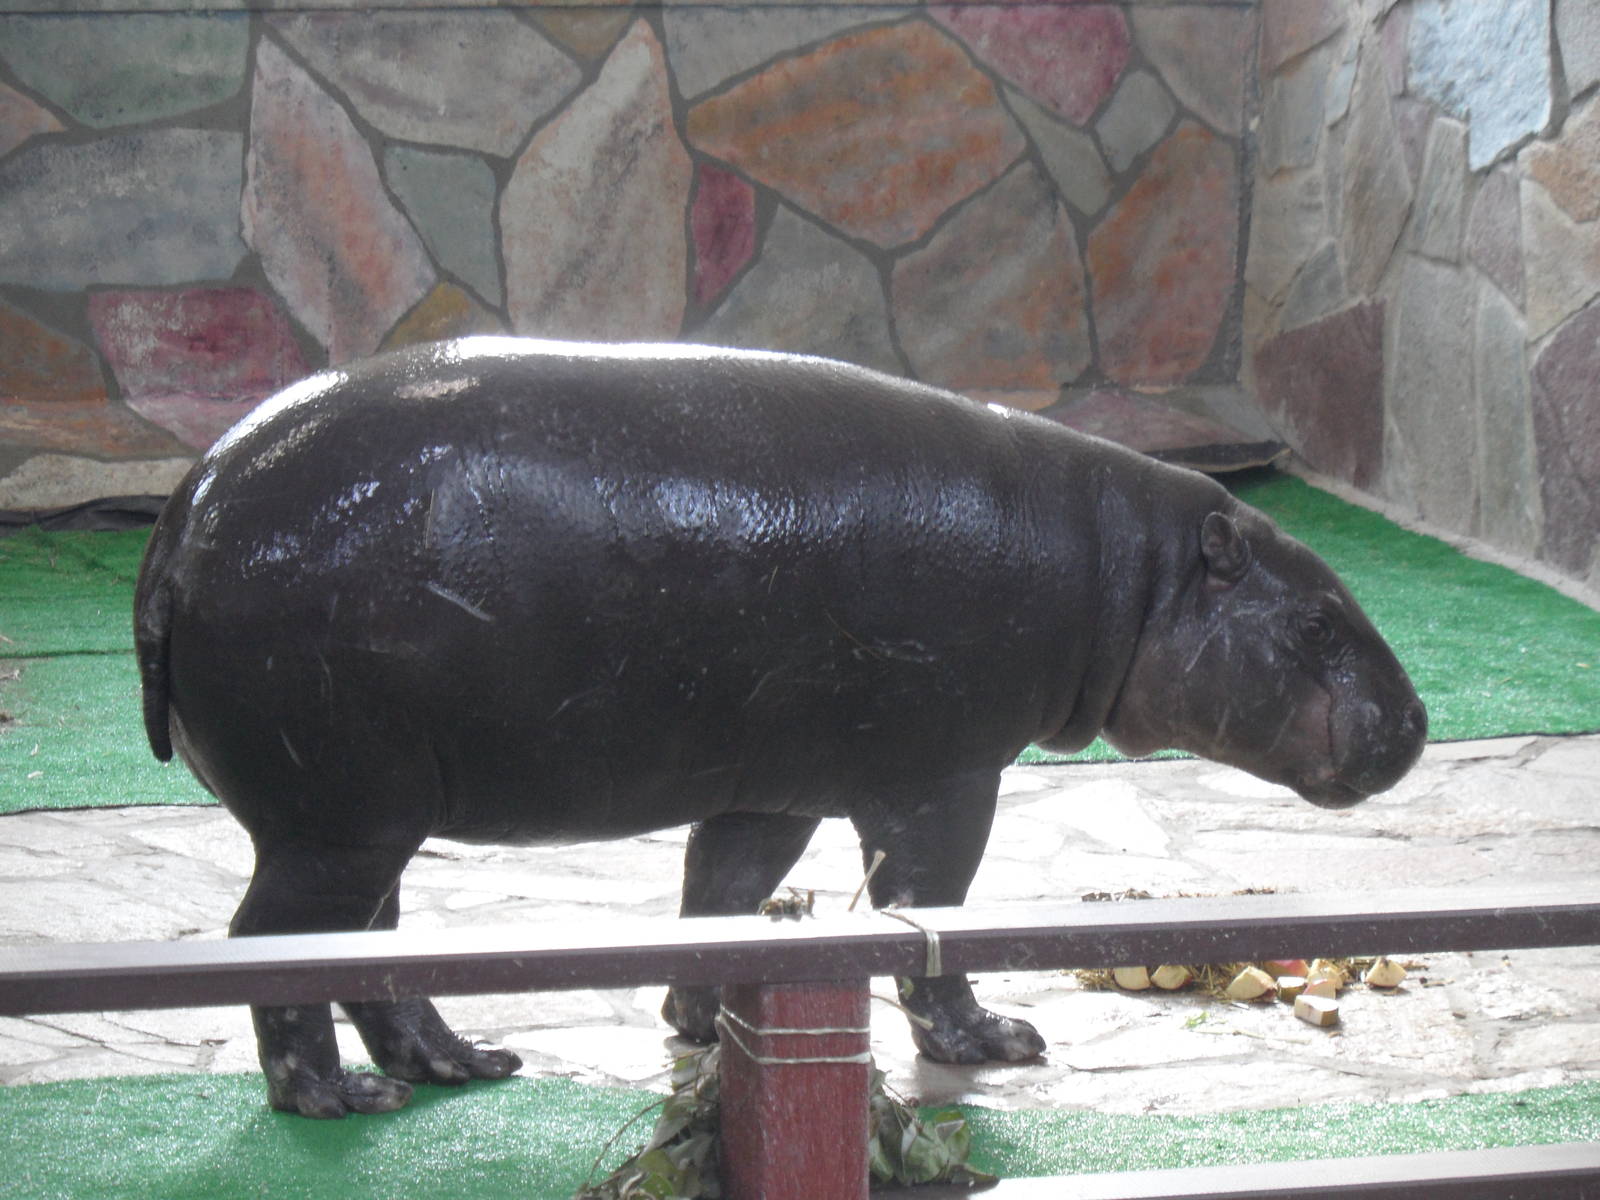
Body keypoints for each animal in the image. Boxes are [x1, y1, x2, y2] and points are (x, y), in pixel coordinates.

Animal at [134, 337, 1426, 1118]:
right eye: (1317, 619)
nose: (1418, 719)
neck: (1135, 578)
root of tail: (186, 508)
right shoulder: (946, 777)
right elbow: (929, 911)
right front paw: (997, 1042)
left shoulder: (775, 784)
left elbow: (720, 894)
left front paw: (704, 1026)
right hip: (333, 820)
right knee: (276, 947)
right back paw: (338, 1101)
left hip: (372, 817)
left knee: (374, 950)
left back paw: (467, 1068)